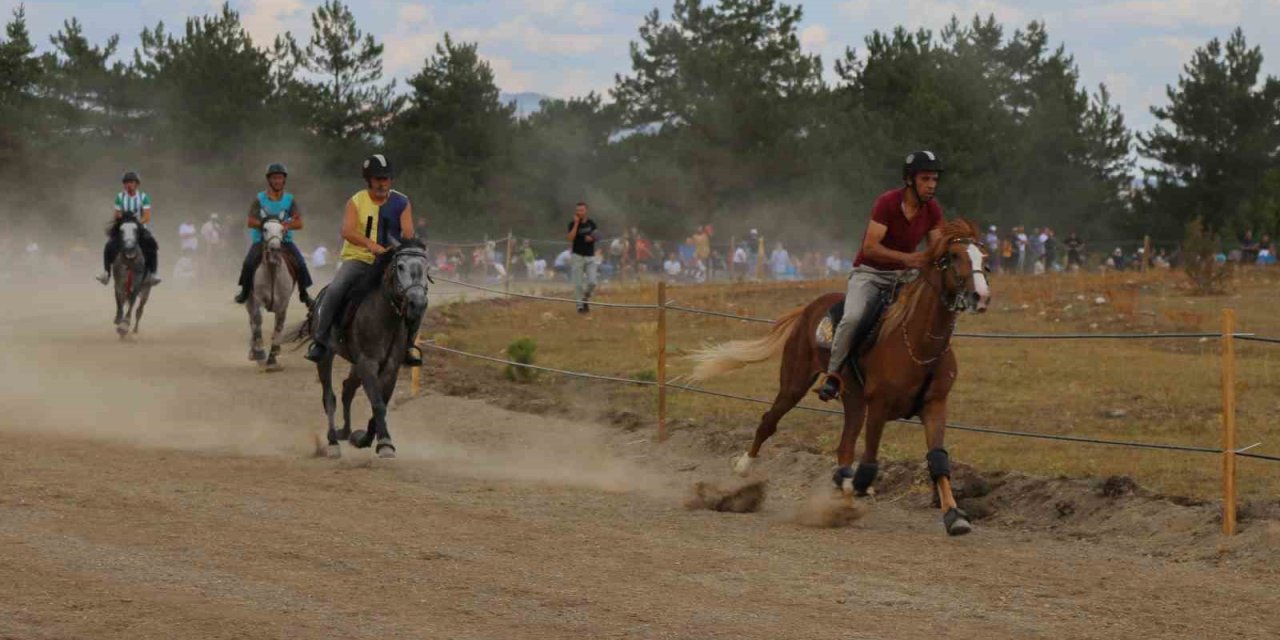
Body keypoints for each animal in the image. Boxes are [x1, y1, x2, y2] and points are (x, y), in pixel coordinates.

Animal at [244, 220, 296, 371]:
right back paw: (253, 352)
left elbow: (278, 327)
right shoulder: (257, 300)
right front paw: (260, 355)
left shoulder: (283, 304)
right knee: (252, 322)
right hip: (249, 302)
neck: (272, 270)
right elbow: (257, 322)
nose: (274, 250)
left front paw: (272, 358)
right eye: (264, 229)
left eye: (282, 230)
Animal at [291, 238, 427, 458]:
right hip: (327, 357)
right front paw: (385, 443)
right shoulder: (367, 364)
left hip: (355, 364)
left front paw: (365, 438)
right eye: (400, 266)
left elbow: (381, 403)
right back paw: (333, 442)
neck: (386, 316)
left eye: (426, 268)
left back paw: (346, 433)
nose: (418, 303)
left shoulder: (390, 368)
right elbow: (377, 404)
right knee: (329, 397)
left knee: (347, 389)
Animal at [691, 220, 988, 535]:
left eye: (983, 257)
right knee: (769, 422)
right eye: (954, 256)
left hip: (853, 399)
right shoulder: (879, 405)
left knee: (844, 446)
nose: (980, 296)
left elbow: (938, 459)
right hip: (795, 383)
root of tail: (808, 309)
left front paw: (954, 515)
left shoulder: (934, 405)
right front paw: (853, 484)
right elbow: (868, 462)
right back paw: (744, 468)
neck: (918, 343)